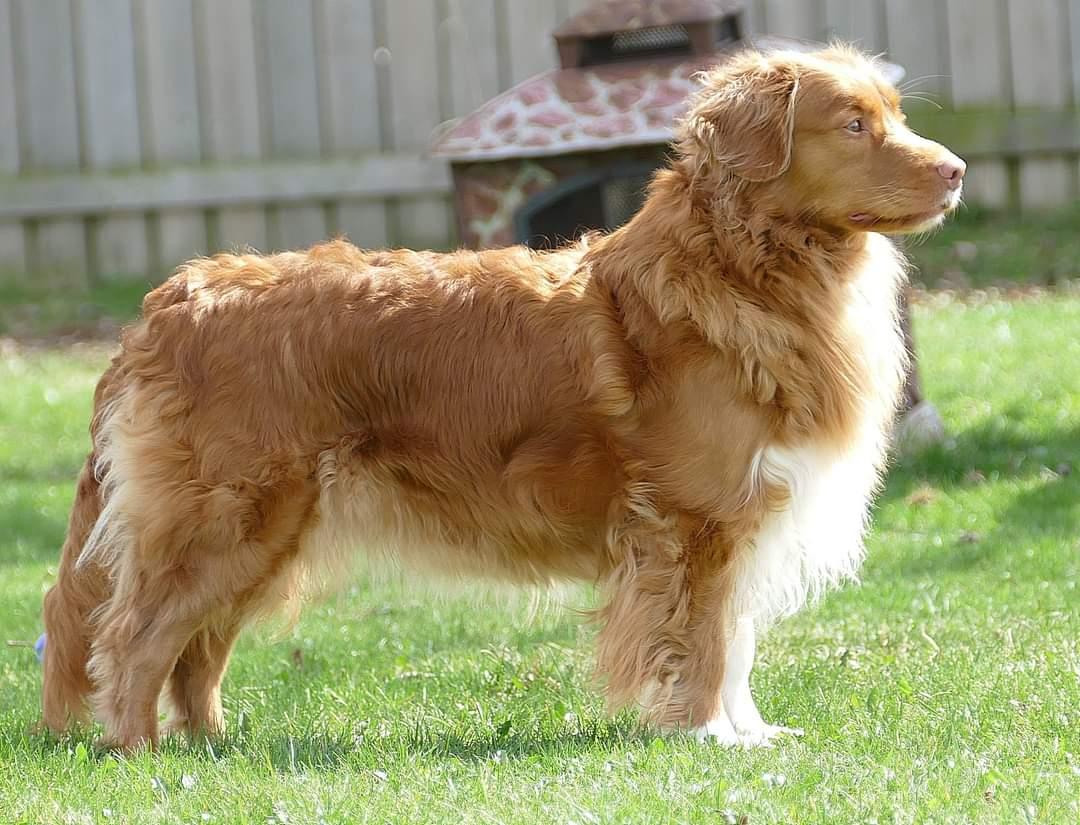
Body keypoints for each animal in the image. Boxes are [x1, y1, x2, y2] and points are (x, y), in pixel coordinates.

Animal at [46, 46, 967, 755]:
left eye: (893, 113)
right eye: (853, 125)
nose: (957, 170)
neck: (745, 266)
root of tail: (171, 299)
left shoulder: (742, 511)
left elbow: (734, 640)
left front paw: (749, 732)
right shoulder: (695, 517)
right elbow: (704, 640)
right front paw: (709, 735)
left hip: (266, 533)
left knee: (194, 652)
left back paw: (211, 746)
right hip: (226, 518)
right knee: (129, 637)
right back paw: (139, 753)